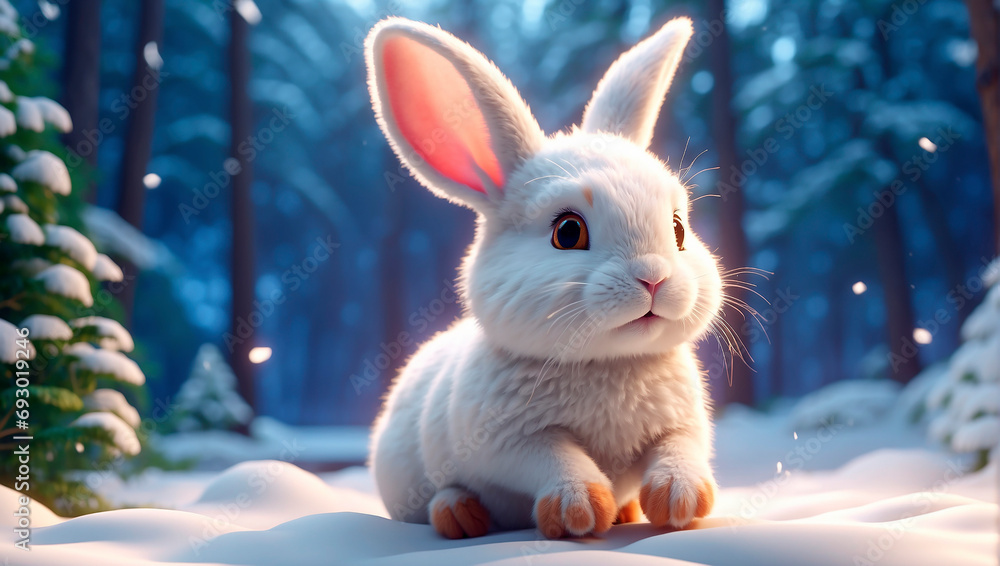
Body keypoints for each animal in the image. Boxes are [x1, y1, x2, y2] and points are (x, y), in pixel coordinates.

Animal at [365, 16, 723, 539]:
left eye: (678, 229)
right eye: (567, 232)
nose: (653, 278)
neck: (609, 364)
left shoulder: (683, 424)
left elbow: (680, 450)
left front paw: (681, 499)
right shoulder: (510, 441)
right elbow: (555, 460)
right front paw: (579, 511)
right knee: (439, 498)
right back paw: (459, 514)